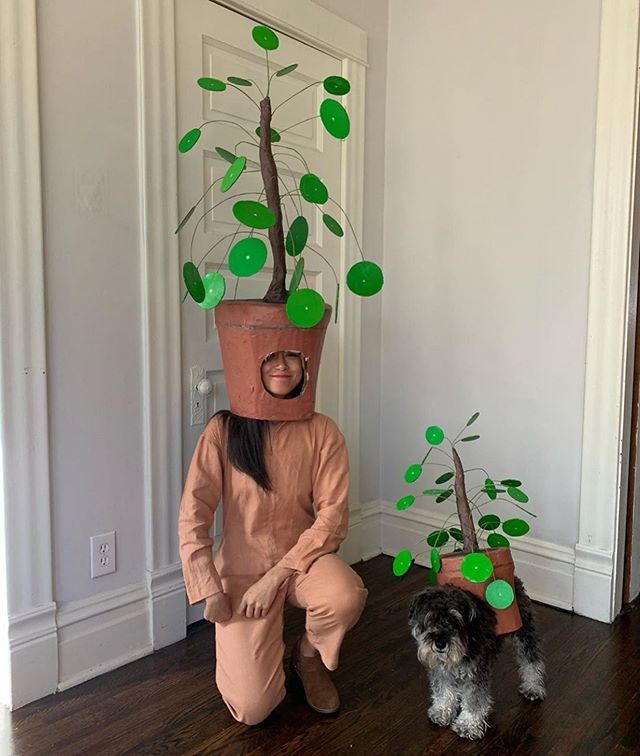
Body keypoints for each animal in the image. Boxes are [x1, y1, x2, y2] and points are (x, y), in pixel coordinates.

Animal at [410, 580, 544, 740]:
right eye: (430, 618)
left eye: (455, 620)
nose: (440, 643)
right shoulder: (441, 670)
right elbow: (443, 689)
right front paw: (442, 710)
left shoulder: (476, 673)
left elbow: (474, 699)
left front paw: (468, 724)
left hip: (524, 632)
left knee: (531, 661)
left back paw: (533, 686)